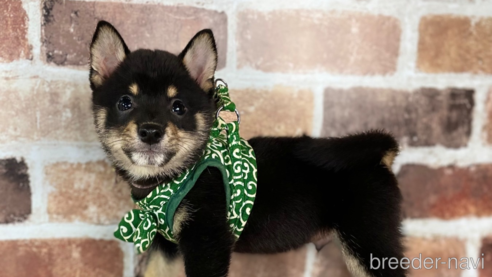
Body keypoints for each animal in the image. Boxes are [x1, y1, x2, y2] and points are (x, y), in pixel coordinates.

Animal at [90, 20, 406, 276]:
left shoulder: (207, 241)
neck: (175, 177)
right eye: (125, 103)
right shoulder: (164, 246)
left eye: (178, 107)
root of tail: (380, 156)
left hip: (368, 245)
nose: (151, 131)